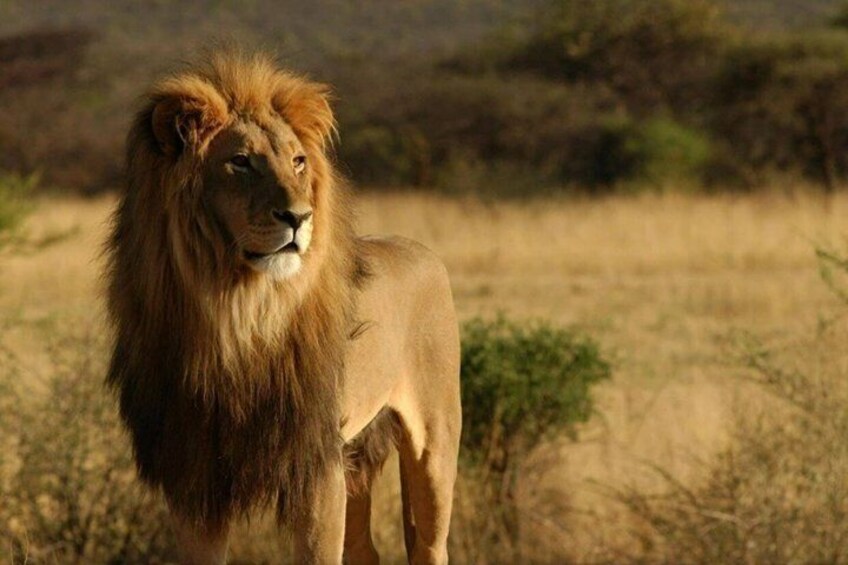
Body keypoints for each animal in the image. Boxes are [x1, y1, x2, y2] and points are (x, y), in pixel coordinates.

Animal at [104, 50, 461, 565]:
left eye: (297, 161)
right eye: (240, 162)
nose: (299, 217)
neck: (237, 313)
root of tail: (421, 249)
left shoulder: (316, 466)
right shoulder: (194, 479)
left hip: (434, 443)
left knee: (431, 542)